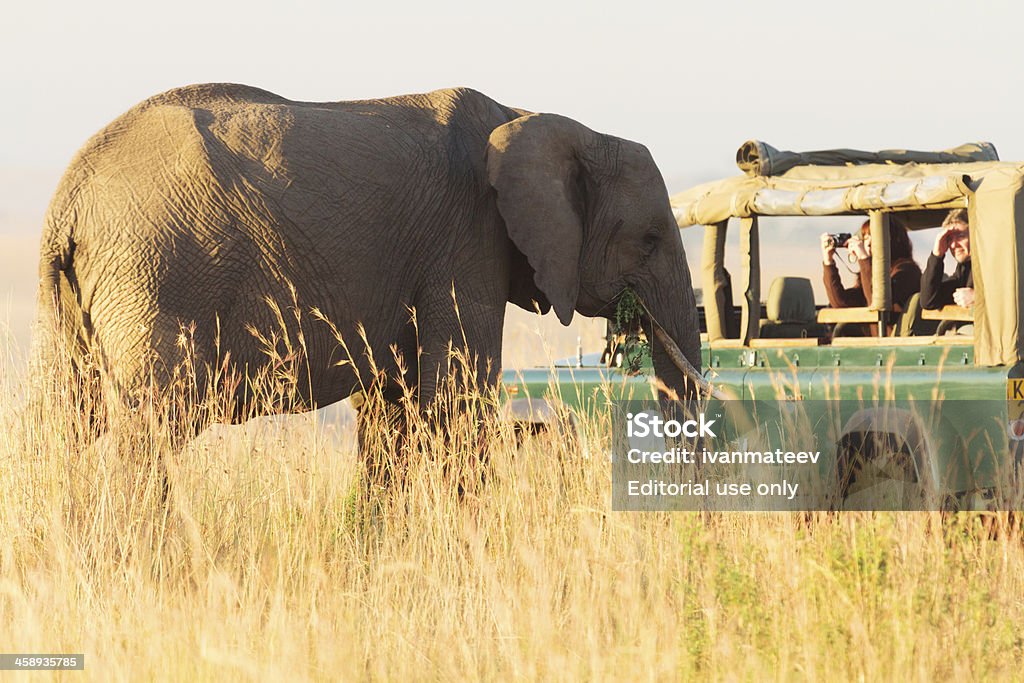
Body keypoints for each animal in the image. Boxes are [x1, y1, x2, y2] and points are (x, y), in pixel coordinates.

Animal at [32, 83, 704, 448]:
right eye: (649, 239)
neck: (533, 117)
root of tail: (69, 197)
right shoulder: (464, 242)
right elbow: (453, 400)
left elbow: (392, 410)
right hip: (157, 275)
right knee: (151, 429)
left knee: (74, 425)